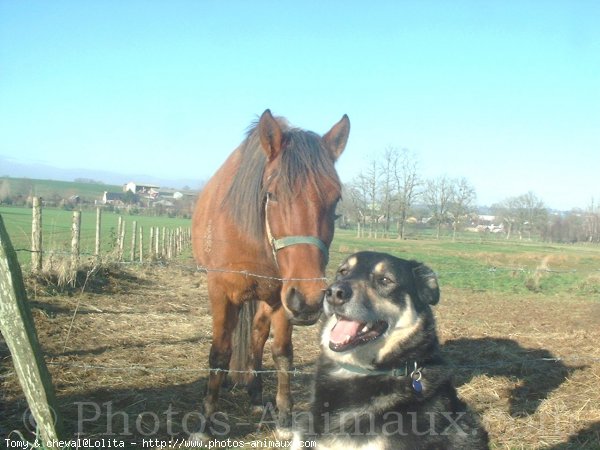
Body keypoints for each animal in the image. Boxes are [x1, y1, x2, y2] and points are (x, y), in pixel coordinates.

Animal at [192, 108, 350, 436]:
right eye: (273, 194)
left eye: (336, 198)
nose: (311, 299)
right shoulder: (221, 293)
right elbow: (219, 353)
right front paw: (205, 421)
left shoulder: (282, 298)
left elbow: (282, 352)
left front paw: (285, 417)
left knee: (257, 333)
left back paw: (255, 393)